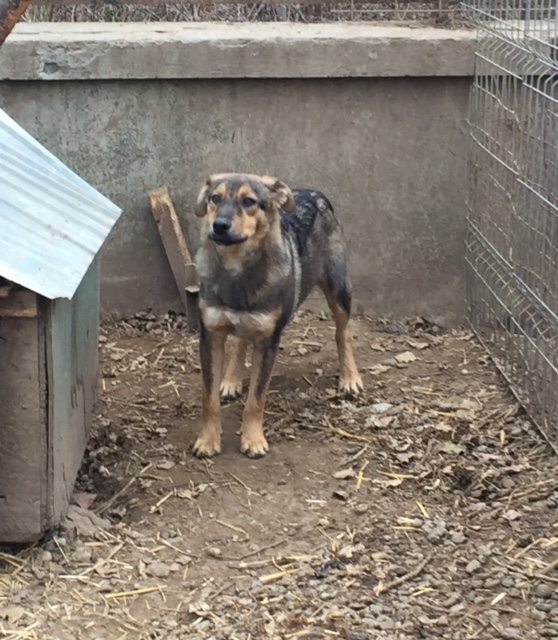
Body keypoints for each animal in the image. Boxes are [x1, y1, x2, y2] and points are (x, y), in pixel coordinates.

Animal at [194, 172, 368, 458]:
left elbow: (256, 398)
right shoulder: (210, 336)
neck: (237, 271)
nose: (219, 226)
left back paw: (350, 377)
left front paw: (253, 439)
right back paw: (231, 379)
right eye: (215, 198)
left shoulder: (268, 342)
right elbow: (209, 399)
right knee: (242, 340)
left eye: (249, 201)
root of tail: (314, 192)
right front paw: (208, 440)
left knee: (343, 333)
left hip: (339, 289)